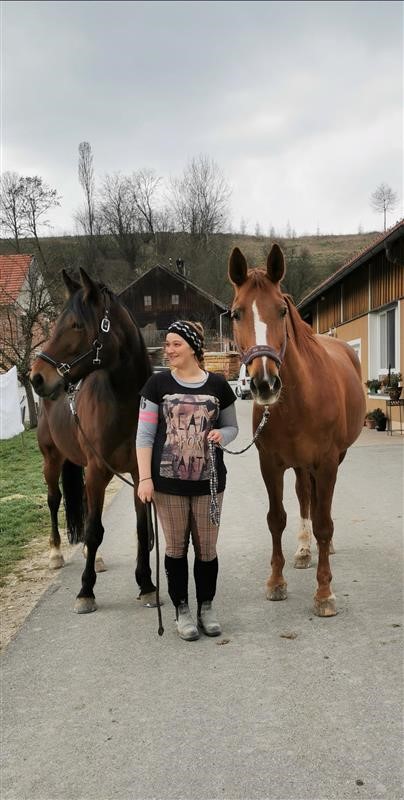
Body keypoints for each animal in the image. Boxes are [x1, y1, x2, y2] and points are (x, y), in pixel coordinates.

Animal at [30, 268, 157, 614]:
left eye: (75, 324)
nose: (36, 377)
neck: (124, 403)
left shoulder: (138, 473)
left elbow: (142, 530)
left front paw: (146, 585)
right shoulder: (98, 471)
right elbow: (94, 530)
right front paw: (85, 591)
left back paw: (94, 558)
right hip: (51, 460)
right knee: (54, 500)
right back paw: (56, 553)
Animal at [228, 244, 366, 616]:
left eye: (280, 310)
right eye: (236, 314)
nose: (264, 383)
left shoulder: (328, 462)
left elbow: (324, 522)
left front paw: (324, 593)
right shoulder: (270, 464)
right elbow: (277, 518)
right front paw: (276, 582)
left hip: (332, 459)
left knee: (318, 506)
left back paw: (323, 548)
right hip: (301, 466)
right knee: (305, 496)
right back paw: (304, 550)